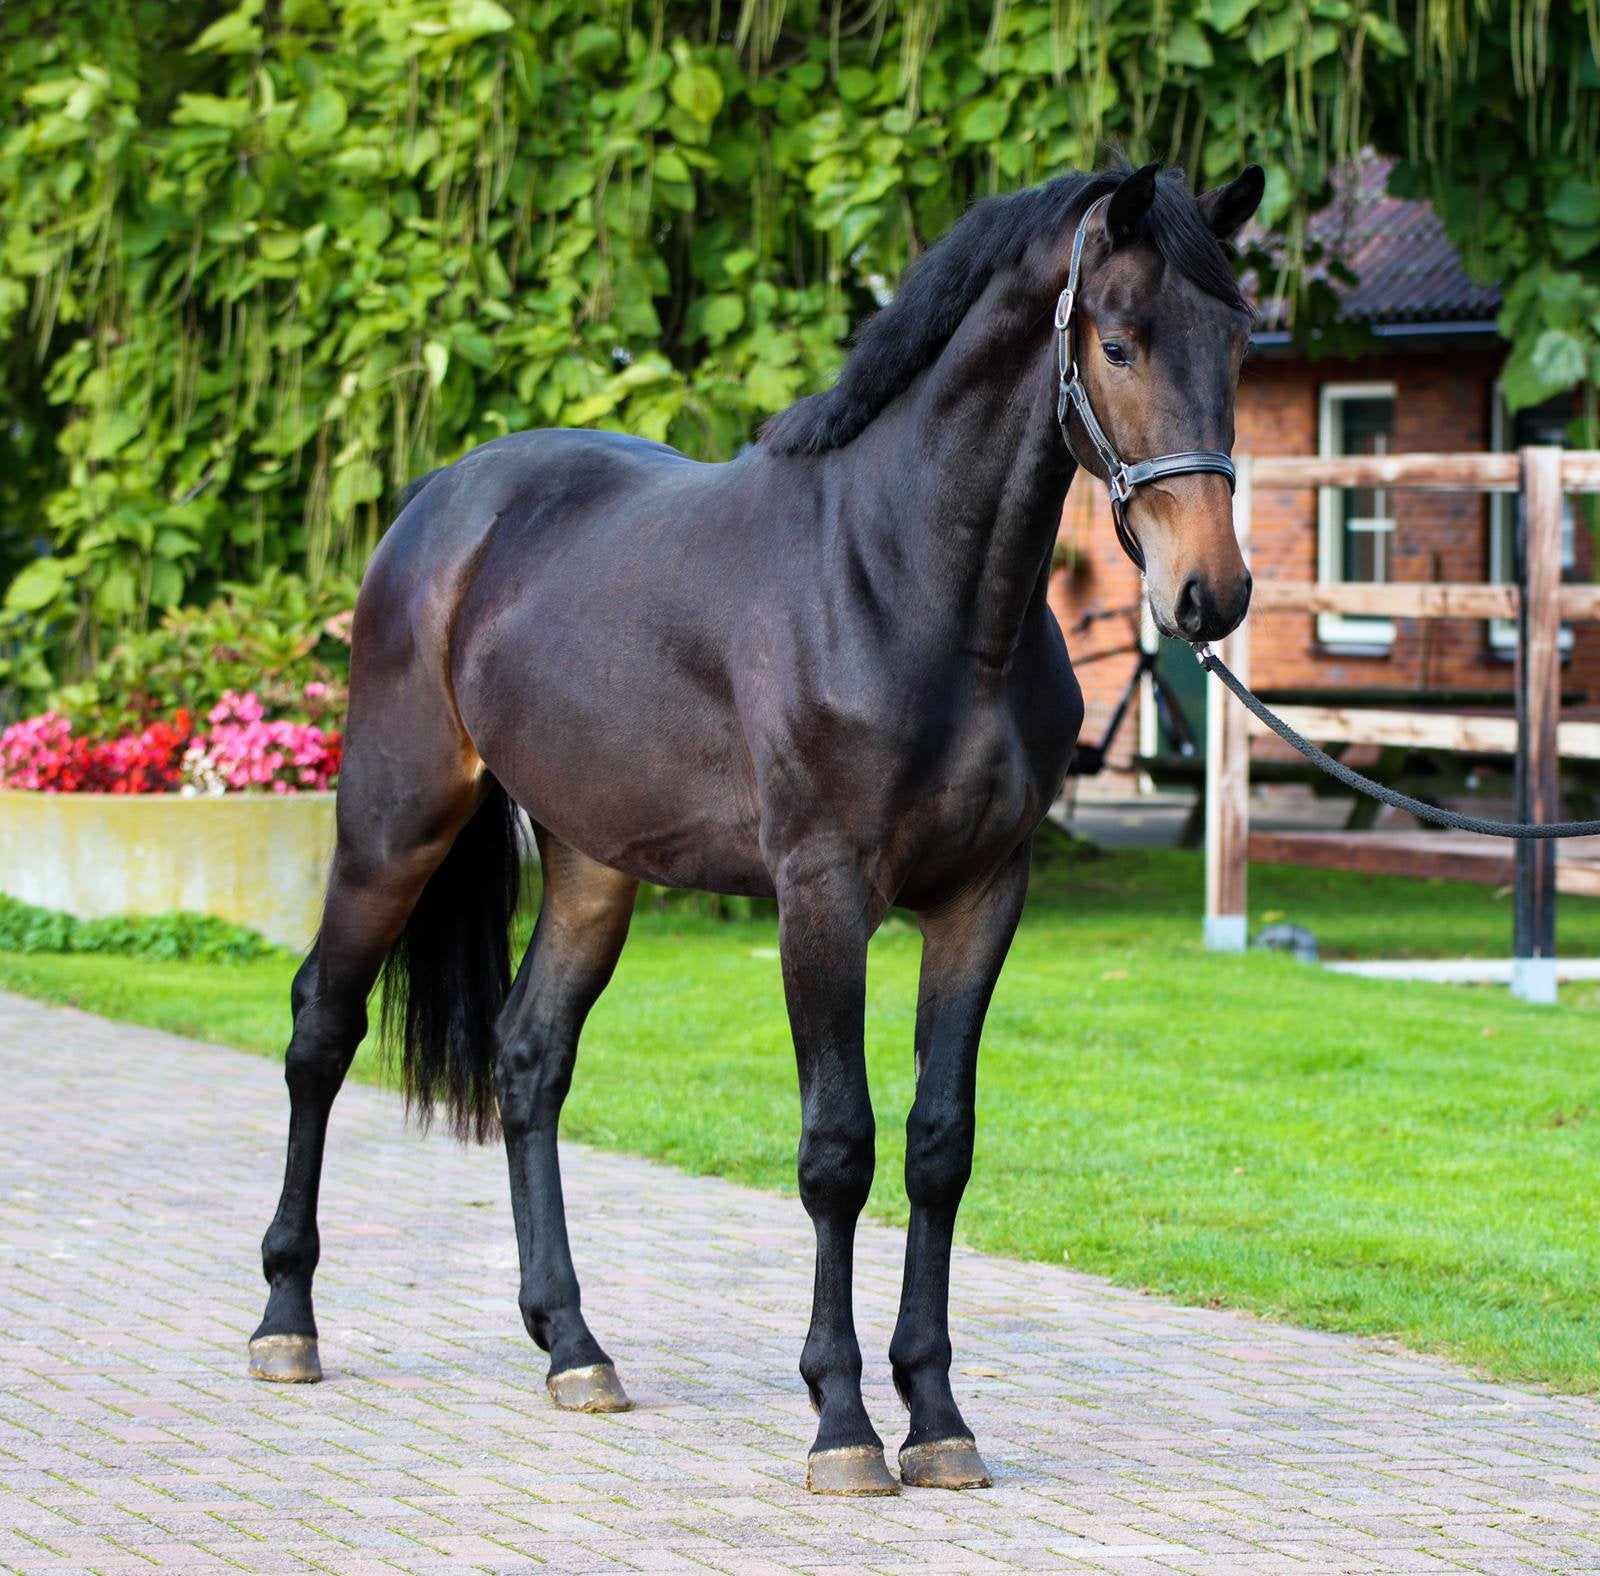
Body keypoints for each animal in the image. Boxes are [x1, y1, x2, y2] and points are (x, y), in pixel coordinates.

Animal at [249, 159, 1263, 1497]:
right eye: (1118, 341)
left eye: (1237, 346)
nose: (1211, 593)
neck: (910, 591)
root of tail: (441, 503)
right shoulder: (819, 894)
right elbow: (838, 1147)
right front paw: (842, 1421)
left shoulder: (984, 893)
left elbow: (938, 1145)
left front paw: (937, 1417)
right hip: (393, 819)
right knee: (322, 1026)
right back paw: (286, 1321)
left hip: (591, 862)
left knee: (529, 1057)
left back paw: (573, 1345)